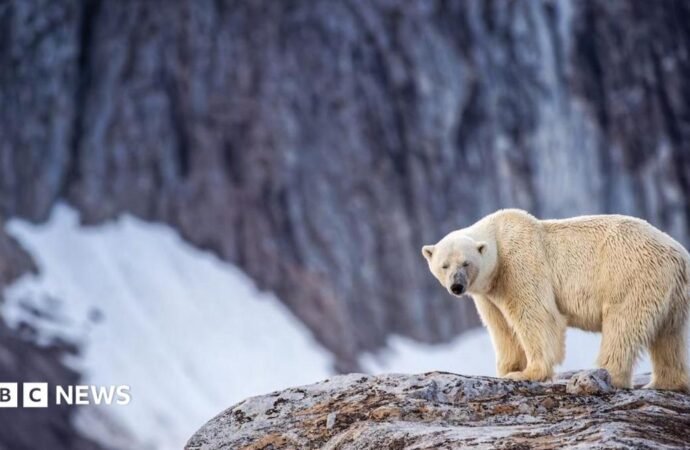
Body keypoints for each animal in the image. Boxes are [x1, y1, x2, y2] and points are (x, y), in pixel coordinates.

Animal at [422, 209, 690, 392]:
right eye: (444, 265)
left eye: (466, 263)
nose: (457, 286)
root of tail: (680, 255)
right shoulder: (488, 293)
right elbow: (501, 327)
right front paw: (508, 369)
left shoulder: (520, 262)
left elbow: (537, 315)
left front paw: (527, 373)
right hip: (670, 291)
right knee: (668, 335)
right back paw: (666, 383)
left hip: (632, 275)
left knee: (622, 325)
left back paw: (604, 375)